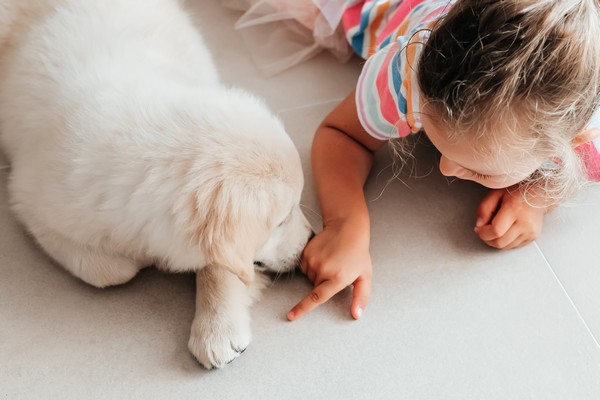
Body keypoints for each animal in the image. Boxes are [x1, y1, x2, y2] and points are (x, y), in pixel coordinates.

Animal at [0, 0, 312, 368]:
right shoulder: (31, 203)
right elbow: (112, 270)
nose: (312, 238)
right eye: (282, 220)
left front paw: (216, 327)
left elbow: (221, 268)